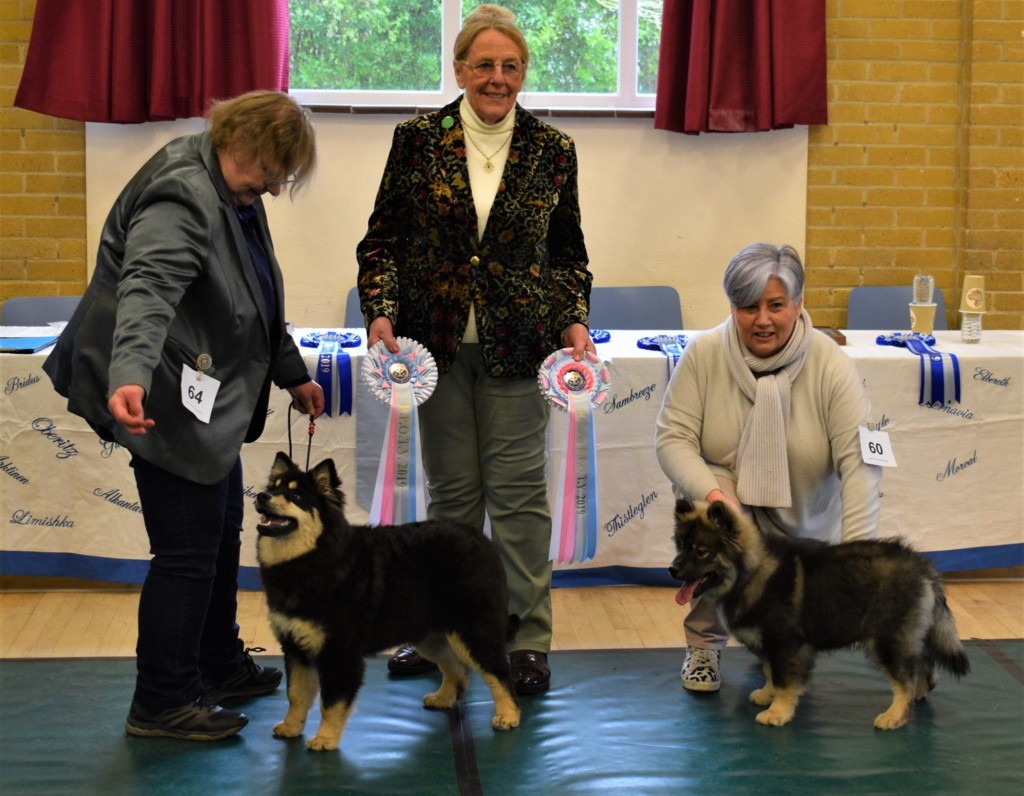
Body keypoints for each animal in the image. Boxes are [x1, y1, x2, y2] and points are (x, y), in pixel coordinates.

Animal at [251, 450, 516, 749]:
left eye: (296, 495)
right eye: (274, 488)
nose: (262, 496)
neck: (313, 558)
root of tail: (483, 540)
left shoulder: (339, 650)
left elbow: (331, 702)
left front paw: (325, 738)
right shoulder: (295, 646)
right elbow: (296, 694)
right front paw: (291, 727)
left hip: (473, 630)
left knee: (498, 672)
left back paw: (508, 715)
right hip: (428, 633)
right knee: (456, 668)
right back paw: (443, 698)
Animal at [667, 499, 970, 729]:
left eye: (701, 552)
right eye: (680, 546)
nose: (671, 569)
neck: (750, 572)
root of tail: (923, 567)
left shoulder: (786, 643)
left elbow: (784, 680)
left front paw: (778, 711)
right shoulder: (771, 645)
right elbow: (770, 672)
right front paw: (767, 695)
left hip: (886, 638)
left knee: (904, 679)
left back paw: (895, 715)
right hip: (908, 633)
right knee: (924, 664)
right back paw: (918, 695)